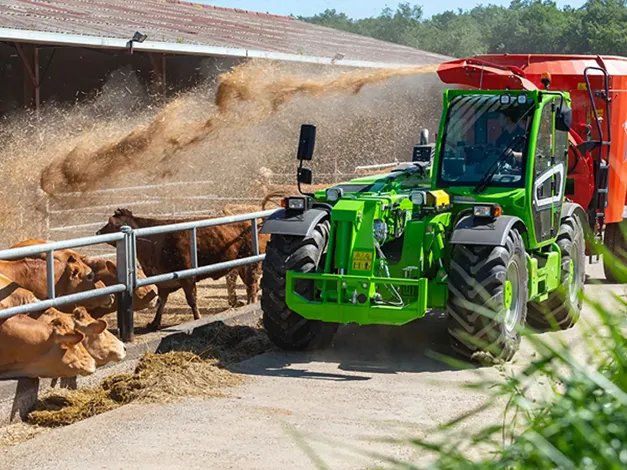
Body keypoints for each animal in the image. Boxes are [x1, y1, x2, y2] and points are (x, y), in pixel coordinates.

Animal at [97, 209, 268, 330]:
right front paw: (154, 323)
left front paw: (198, 318)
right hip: (243, 266)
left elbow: (191, 300)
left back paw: (251, 304)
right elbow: (161, 303)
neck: (154, 241)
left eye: (111, 223)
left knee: (252, 286)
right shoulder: (163, 282)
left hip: (251, 264)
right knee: (250, 287)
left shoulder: (187, 278)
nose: (98, 232)